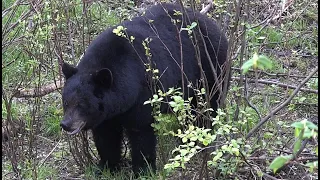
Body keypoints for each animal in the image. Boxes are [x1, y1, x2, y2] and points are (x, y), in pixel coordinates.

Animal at [60, 2, 228, 175]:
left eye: (81, 104)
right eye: (66, 102)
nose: (66, 124)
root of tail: (214, 25)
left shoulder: (142, 93)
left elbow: (141, 132)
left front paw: (143, 170)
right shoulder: (105, 113)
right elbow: (106, 136)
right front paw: (106, 167)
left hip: (210, 68)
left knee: (206, 106)